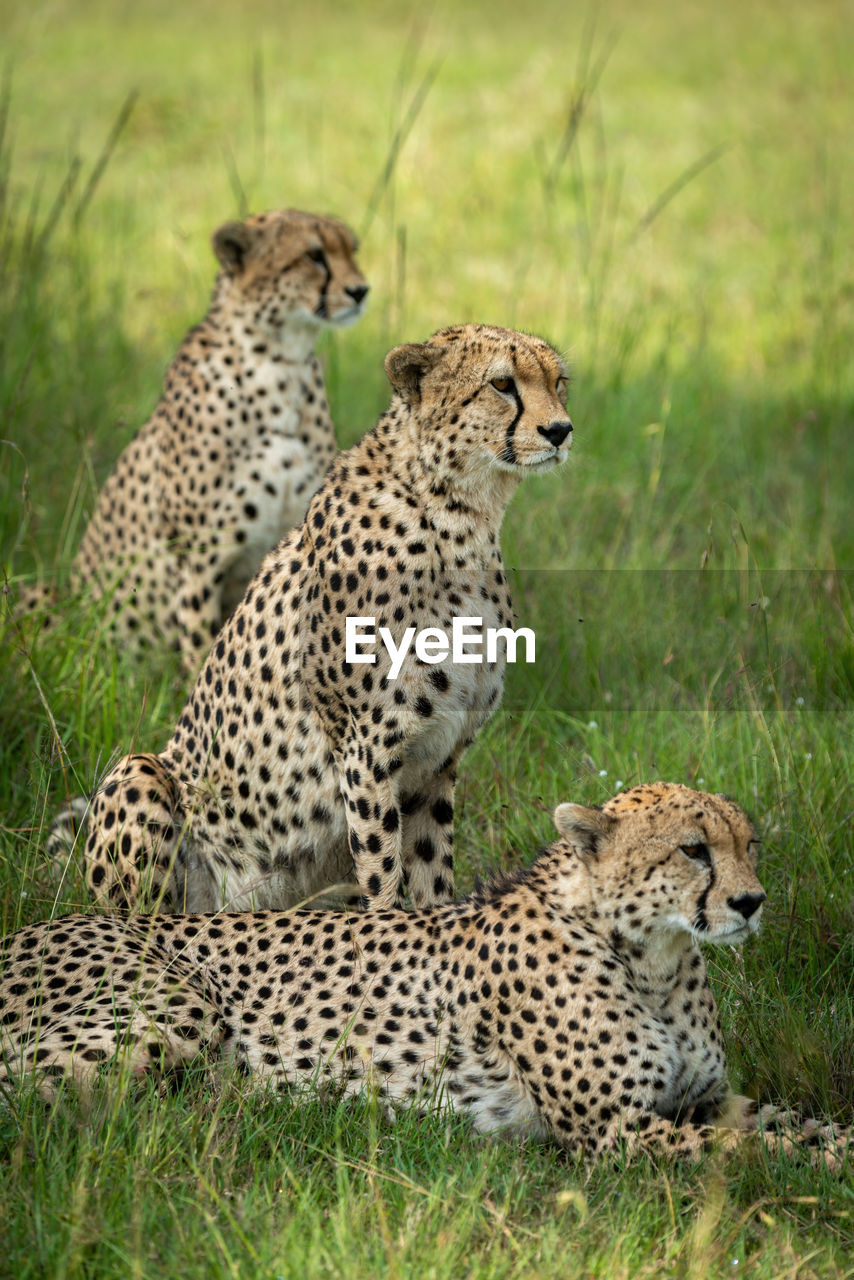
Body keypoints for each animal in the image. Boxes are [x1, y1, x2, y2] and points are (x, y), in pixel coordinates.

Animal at [0, 783, 845, 1167]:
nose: (751, 901)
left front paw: (832, 1140)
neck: (652, 958)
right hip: (173, 1009)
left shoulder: (701, 1100)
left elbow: (794, 1122)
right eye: (693, 850)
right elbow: (760, 1154)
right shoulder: (611, 1132)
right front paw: (829, 1168)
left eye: (750, 845)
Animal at [13, 203, 368, 670]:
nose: (360, 290)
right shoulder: (198, 556)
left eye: (351, 249)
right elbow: (203, 646)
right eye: (314, 256)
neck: (281, 363)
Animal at [53, 325, 573, 916]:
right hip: (141, 774)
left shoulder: (436, 762)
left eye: (558, 382)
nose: (560, 430)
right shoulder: (367, 751)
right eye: (502, 384)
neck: (459, 518)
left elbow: (430, 884)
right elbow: (383, 877)